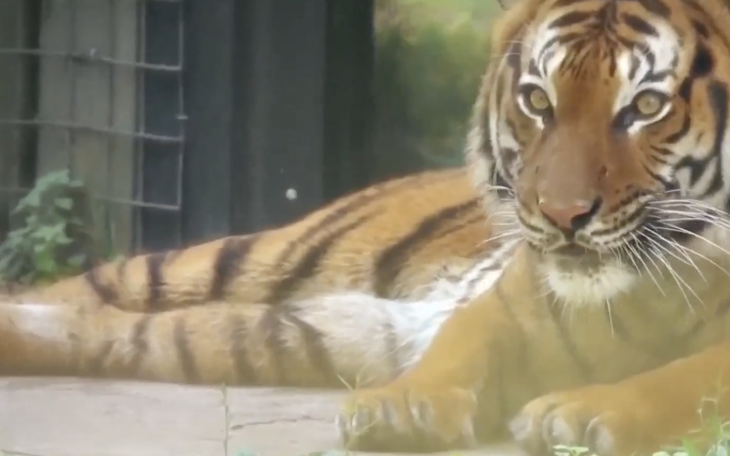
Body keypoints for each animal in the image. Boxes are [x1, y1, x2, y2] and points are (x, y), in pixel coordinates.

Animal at [3, 0, 730, 454]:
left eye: (644, 107)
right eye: (537, 101)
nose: (562, 215)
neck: (654, 287)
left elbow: (686, 379)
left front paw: (587, 413)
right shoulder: (507, 308)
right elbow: (460, 345)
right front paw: (402, 410)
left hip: (286, 333)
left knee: (104, 333)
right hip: (242, 261)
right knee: (77, 295)